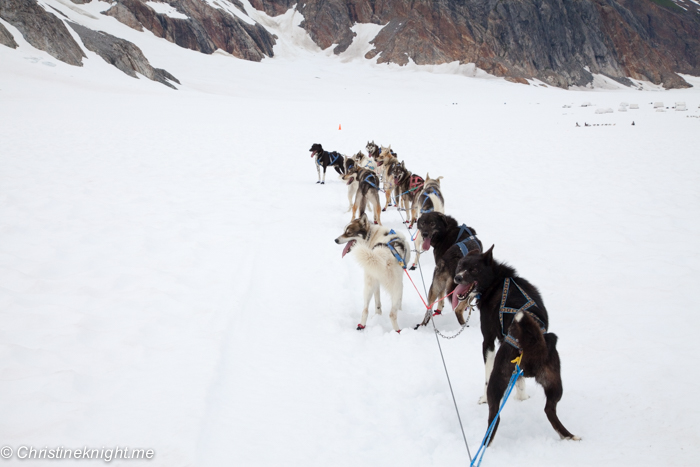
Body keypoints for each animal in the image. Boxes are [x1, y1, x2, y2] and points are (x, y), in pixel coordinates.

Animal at [452, 247, 576, 444]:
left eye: (474, 270)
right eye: (460, 266)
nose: (457, 278)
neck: (496, 281)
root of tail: (535, 342)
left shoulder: (488, 341)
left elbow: (486, 374)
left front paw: (484, 398)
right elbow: (520, 380)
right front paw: (522, 397)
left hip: (498, 380)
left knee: (495, 417)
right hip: (555, 385)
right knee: (549, 410)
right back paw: (569, 436)